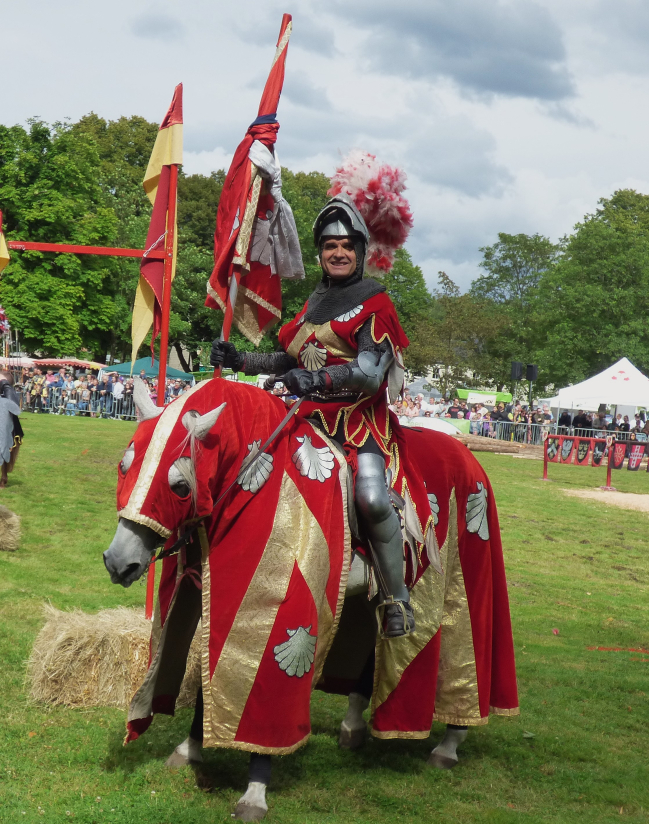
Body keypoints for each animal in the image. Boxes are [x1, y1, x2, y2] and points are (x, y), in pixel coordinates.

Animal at [105, 378, 516, 816]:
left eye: (180, 486)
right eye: (125, 467)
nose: (118, 562)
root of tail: (468, 456)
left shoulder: (277, 607)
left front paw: (255, 789)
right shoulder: (211, 596)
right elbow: (207, 673)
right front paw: (190, 748)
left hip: (469, 572)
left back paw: (451, 740)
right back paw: (355, 725)